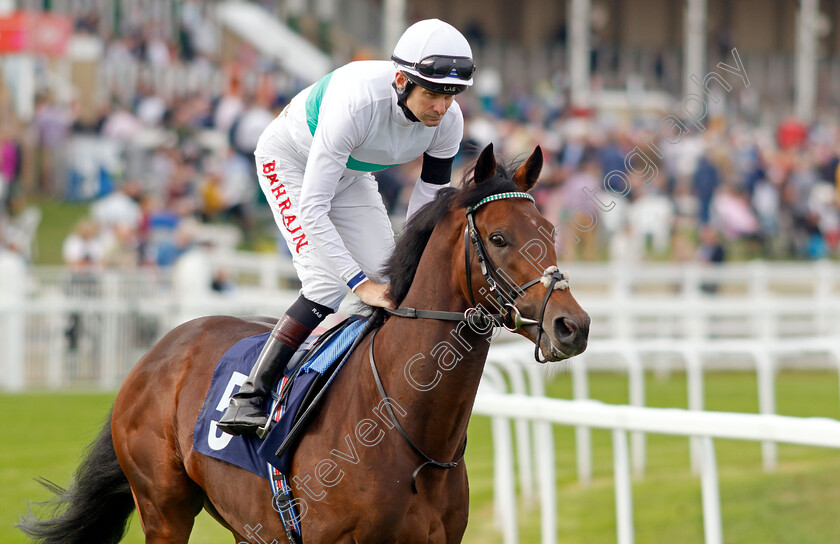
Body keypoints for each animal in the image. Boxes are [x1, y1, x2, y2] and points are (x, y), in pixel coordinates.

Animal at [18, 144, 584, 544]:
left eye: (550, 230)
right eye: (499, 239)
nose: (571, 326)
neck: (406, 429)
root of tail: (159, 351)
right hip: (163, 508)